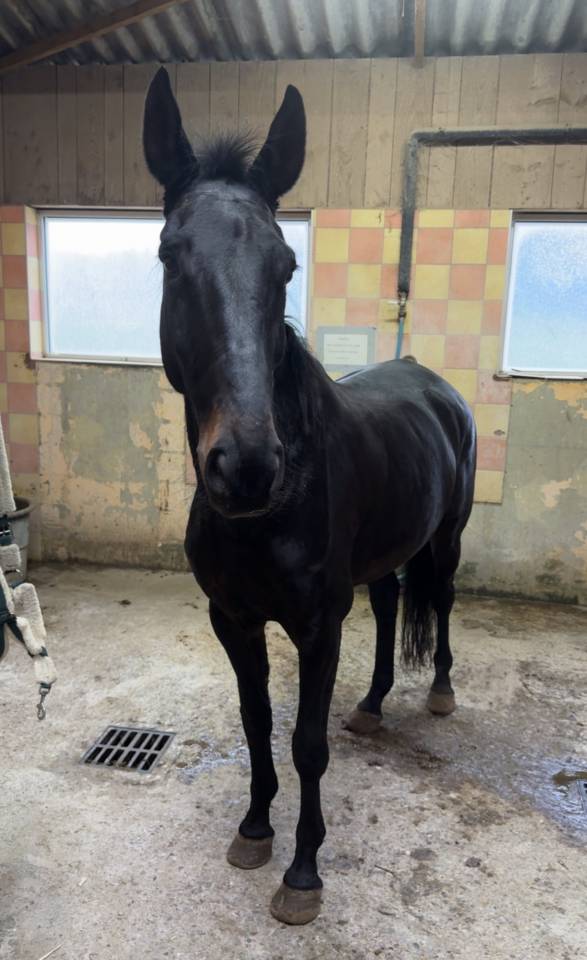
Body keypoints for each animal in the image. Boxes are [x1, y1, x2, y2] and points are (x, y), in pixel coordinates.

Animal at [143, 67, 476, 925]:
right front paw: (254, 829)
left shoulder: (319, 622)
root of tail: (433, 384)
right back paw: (374, 702)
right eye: (168, 254)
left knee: (440, 600)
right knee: (392, 604)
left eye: (285, 265)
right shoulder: (232, 618)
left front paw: (302, 871)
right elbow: (257, 721)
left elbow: (305, 742)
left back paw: (438, 692)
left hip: (447, 540)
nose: (245, 466)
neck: (270, 511)